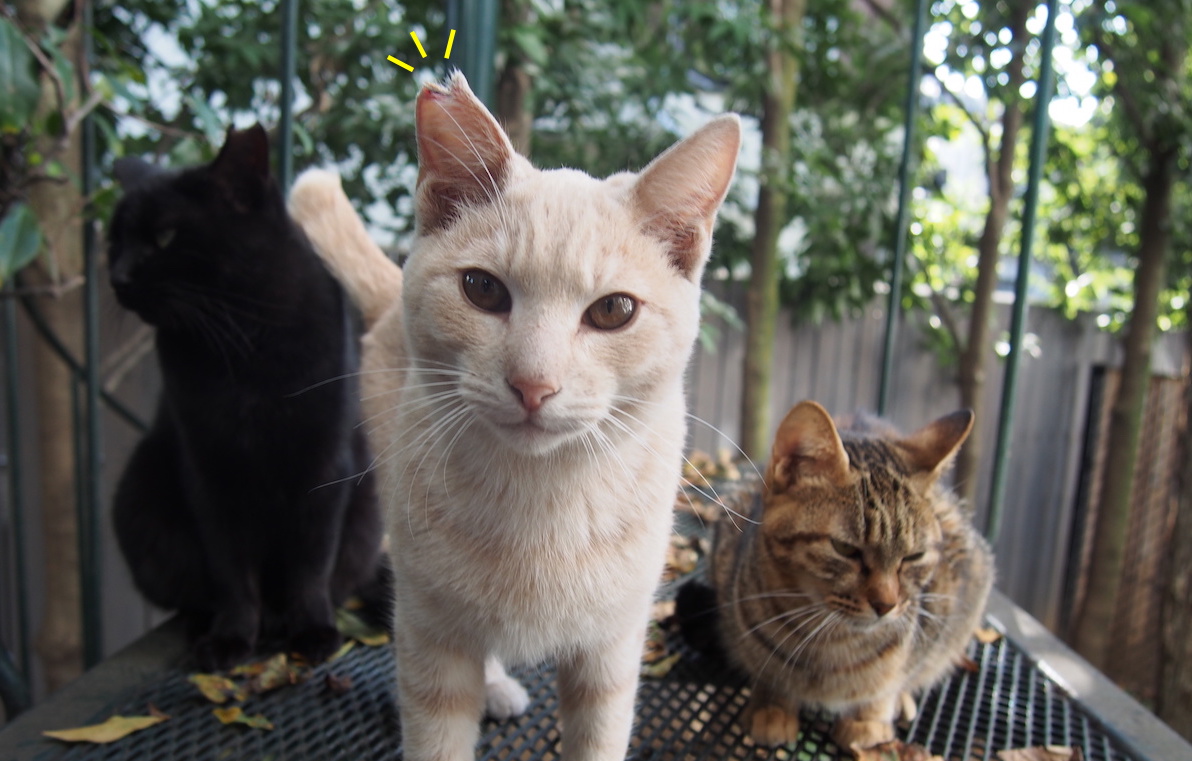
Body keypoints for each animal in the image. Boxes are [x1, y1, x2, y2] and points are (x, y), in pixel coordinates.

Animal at [107, 126, 386, 672]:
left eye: (165, 237)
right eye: (114, 241)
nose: (120, 276)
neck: (245, 343)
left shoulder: (326, 464)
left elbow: (311, 563)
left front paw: (313, 630)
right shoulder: (209, 469)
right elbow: (231, 570)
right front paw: (232, 638)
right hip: (140, 504)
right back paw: (206, 624)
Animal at [284, 73, 739, 761]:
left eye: (613, 311)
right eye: (483, 289)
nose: (533, 384)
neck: (541, 500)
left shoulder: (612, 649)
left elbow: (598, 736)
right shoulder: (429, 635)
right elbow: (438, 736)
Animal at [681, 403, 996, 753]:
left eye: (914, 556)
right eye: (846, 549)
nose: (887, 605)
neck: (829, 642)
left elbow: (892, 680)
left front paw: (869, 719)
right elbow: (768, 671)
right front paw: (772, 706)